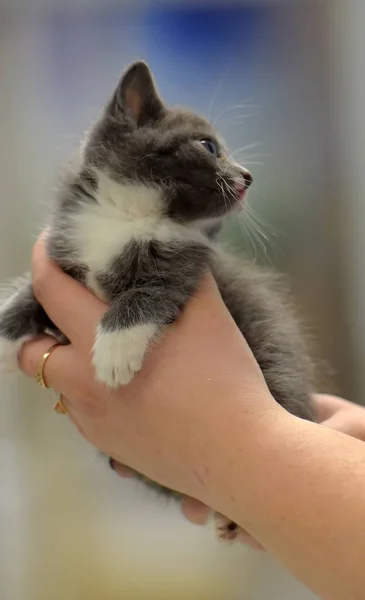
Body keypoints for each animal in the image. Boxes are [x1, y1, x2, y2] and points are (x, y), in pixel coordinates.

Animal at [0, 62, 314, 544]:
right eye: (208, 146)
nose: (247, 175)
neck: (128, 217)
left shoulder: (187, 268)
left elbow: (147, 293)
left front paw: (114, 353)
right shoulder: (61, 254)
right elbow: (31, 292)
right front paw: (2, 336)